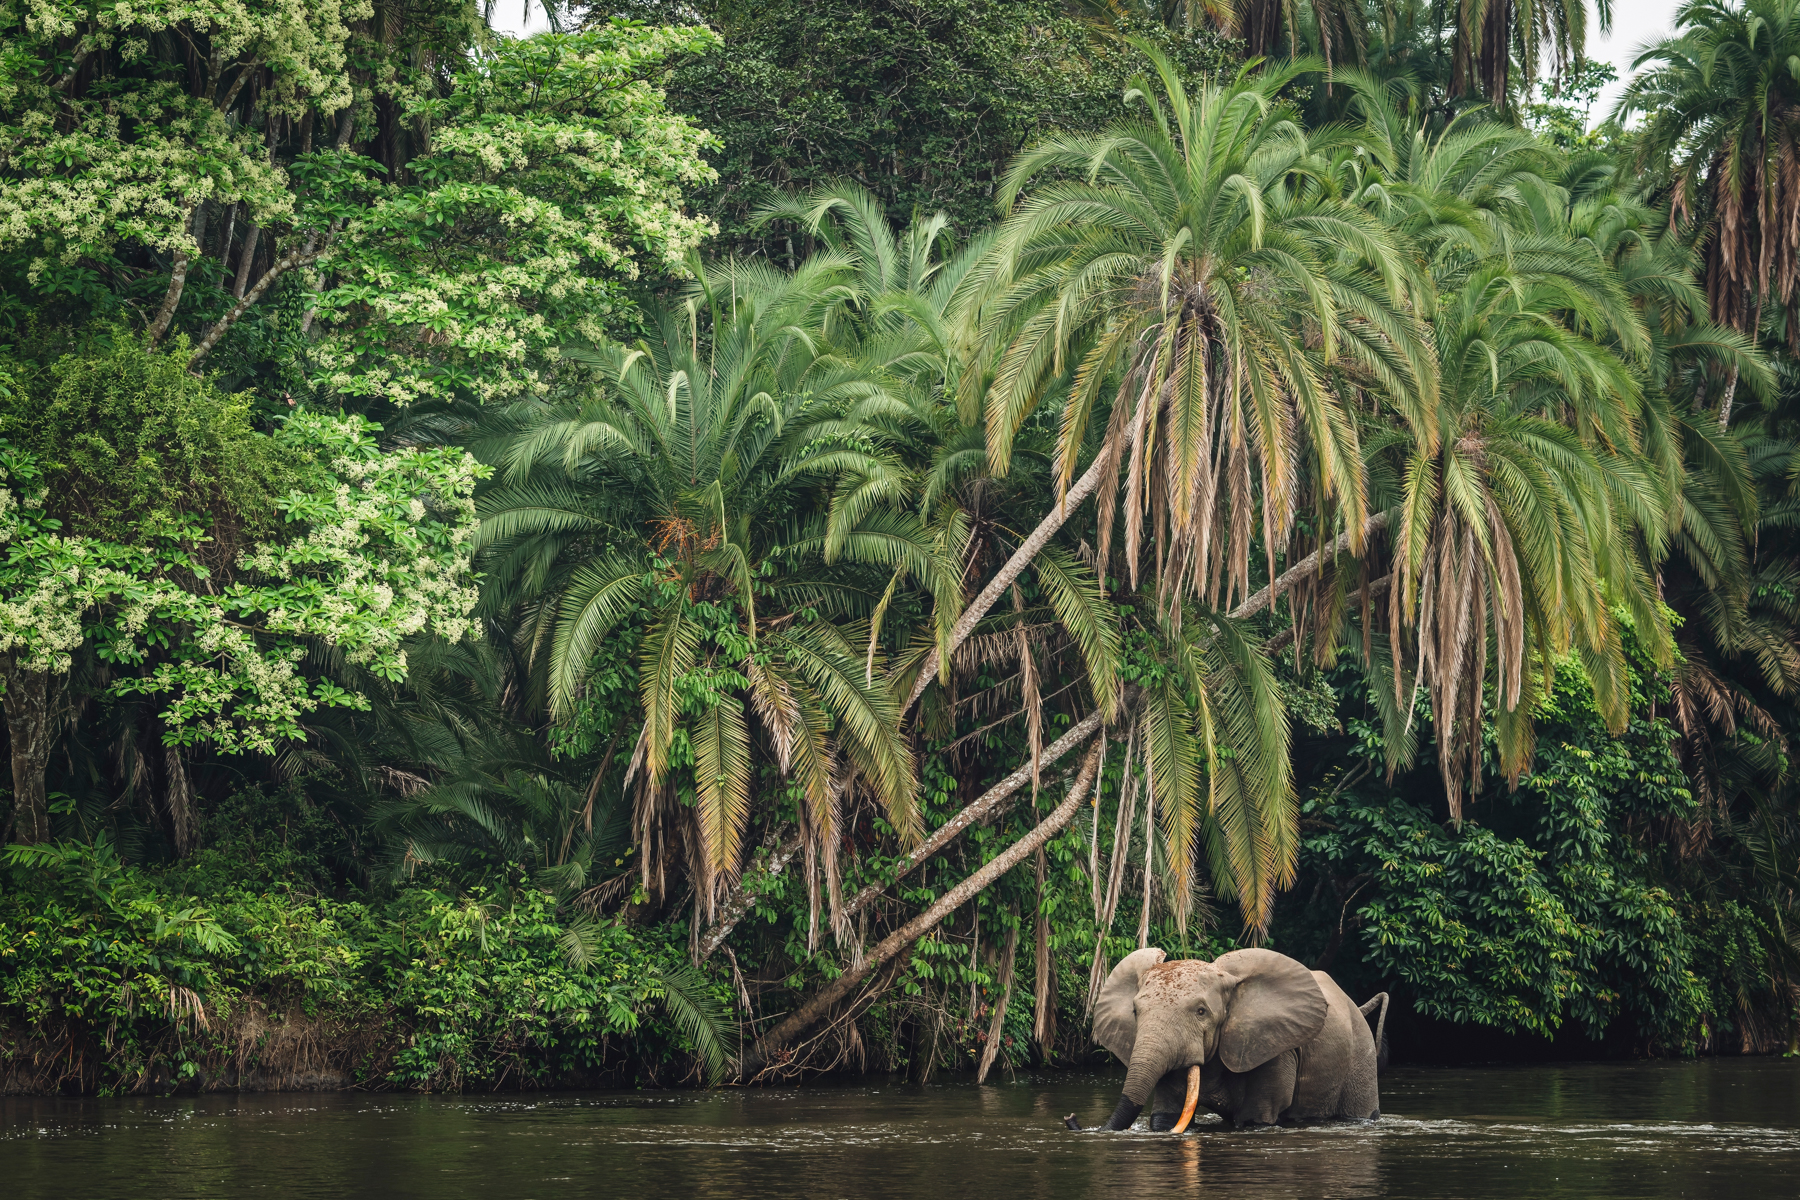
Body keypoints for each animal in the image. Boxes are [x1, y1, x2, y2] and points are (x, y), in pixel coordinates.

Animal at [1069, 946, 1388, 1132]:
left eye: (1201, 1012)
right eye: (1135, 1011)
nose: (1071, 1119)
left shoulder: (1275, 1047)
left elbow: (1256, 1118)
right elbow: (1164, 1117)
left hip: (1360, 1055)